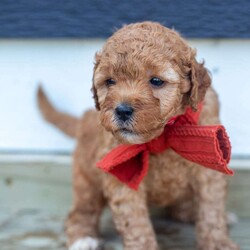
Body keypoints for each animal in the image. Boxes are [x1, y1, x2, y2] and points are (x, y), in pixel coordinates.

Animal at [37, 21, 238, 250]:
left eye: (156, 81)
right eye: (110, 81)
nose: (122, 110)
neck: (162, 136)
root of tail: (84, 119)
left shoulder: (209, 168)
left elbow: (211, 211)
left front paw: (218, 242)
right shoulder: (121, 176)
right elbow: (136, 224)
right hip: (86, 180)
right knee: (80, 213)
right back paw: (83, 238)